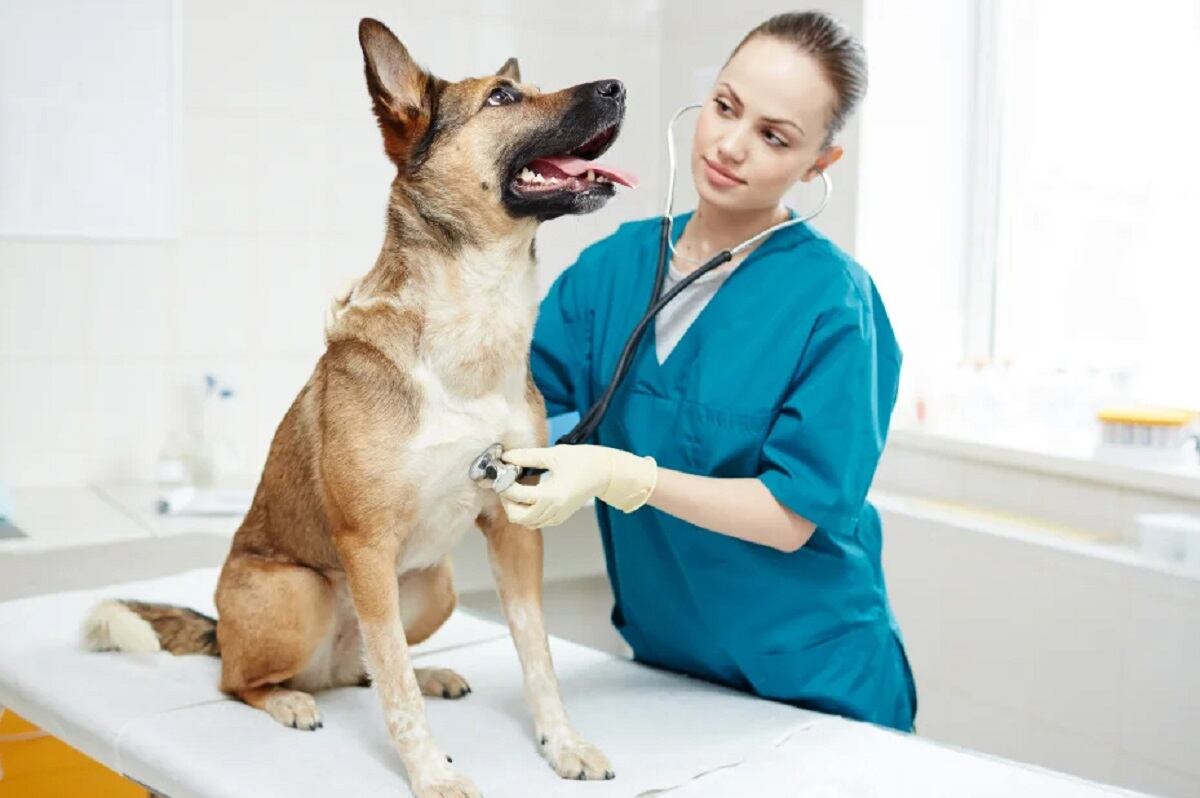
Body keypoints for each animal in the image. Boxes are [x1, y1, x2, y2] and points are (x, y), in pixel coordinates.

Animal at [83, 18, 638, 796]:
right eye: (502, 96)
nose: (619, 86)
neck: (474, 322)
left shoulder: (513, 528)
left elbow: (535, 658)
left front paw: (561, 744)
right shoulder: (367, 545)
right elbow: (397, 696)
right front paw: (431, 774)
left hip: (432, 585)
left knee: (363, 668)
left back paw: (425, 674)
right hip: (303, 594)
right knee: (251, 679)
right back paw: (288, 699)